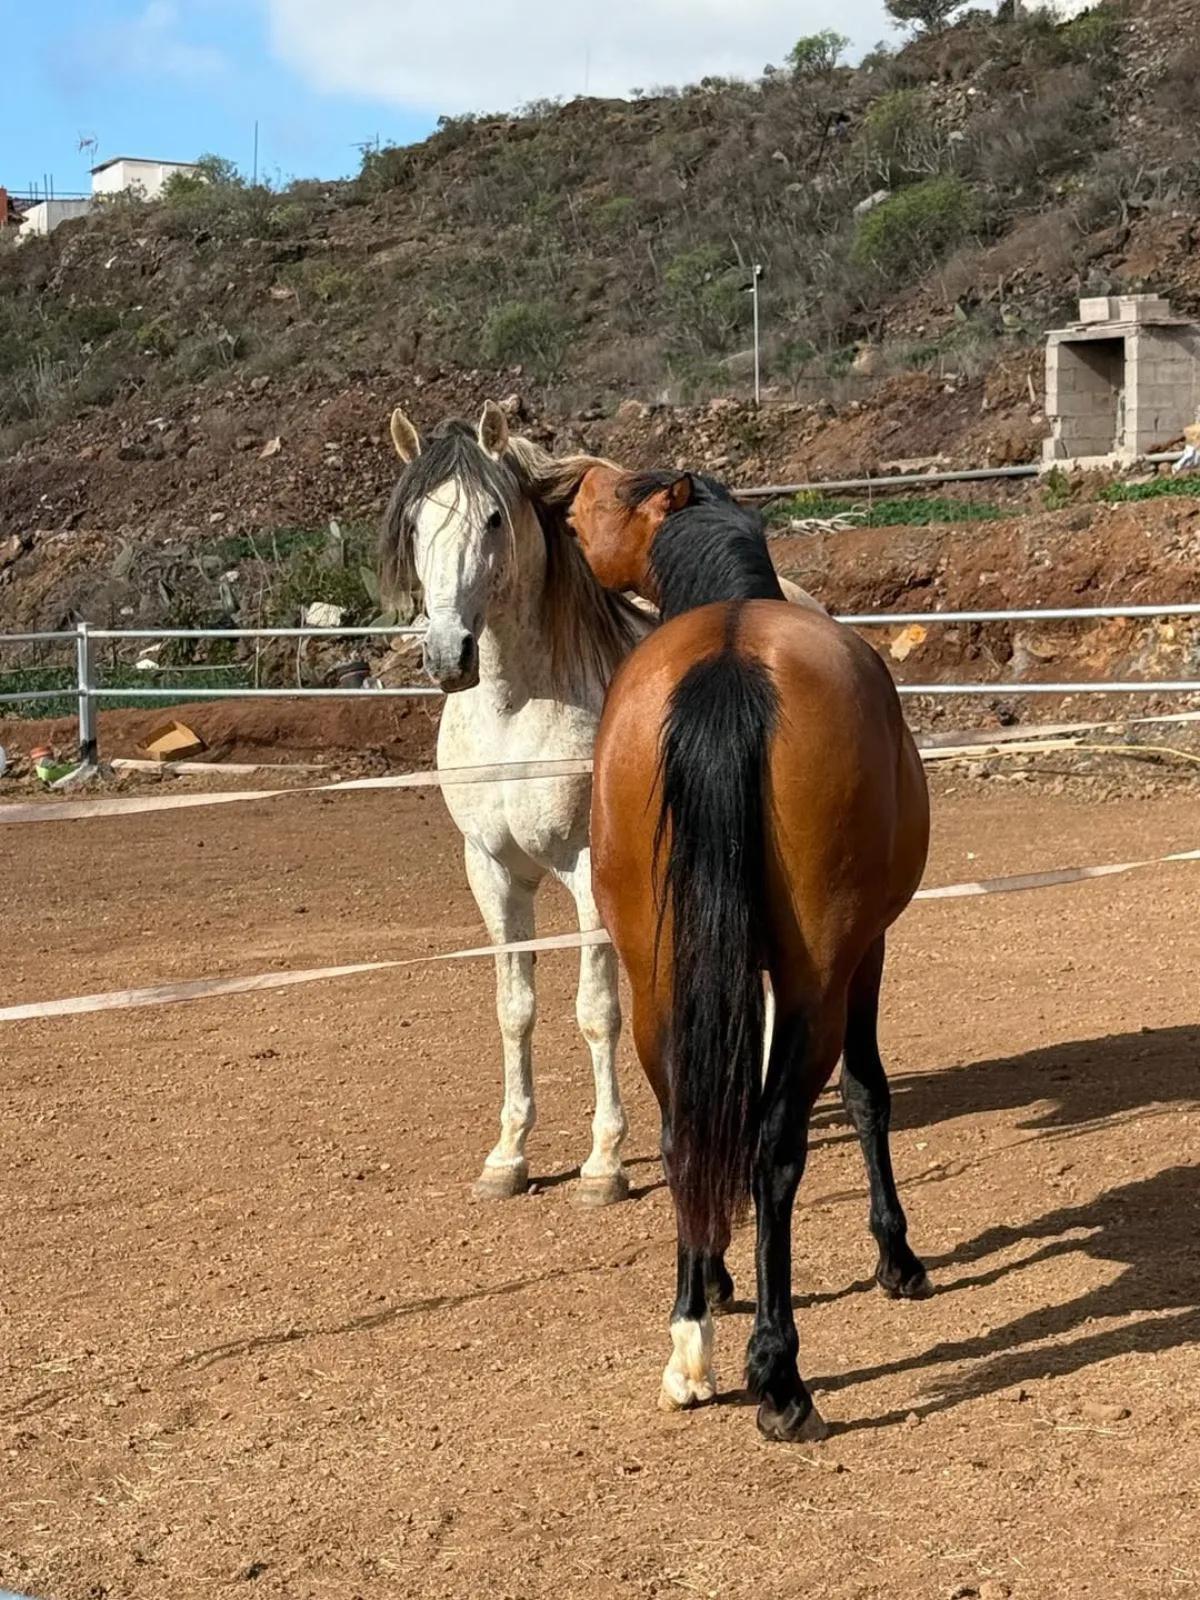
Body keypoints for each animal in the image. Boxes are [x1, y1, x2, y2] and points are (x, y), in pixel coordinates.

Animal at [378, 403, 653, 1206]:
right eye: (416, 522)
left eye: (494, 517)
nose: (448, 656)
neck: (515, 707)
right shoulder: (493, 872)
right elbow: (515, 1010)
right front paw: (508, 1156)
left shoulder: (590, 868)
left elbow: (596, 1012)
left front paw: (605, 1164)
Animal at [588, 470, 931, 1442]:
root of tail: (731, 657)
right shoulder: (866, 955)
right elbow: (867, 1094)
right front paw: (897, 1255)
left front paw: (714, 1275)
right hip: (819, 980)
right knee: (775, 1145)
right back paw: (779, 1377)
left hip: (658, 979)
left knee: (683, 1135)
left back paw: (691, 1338)